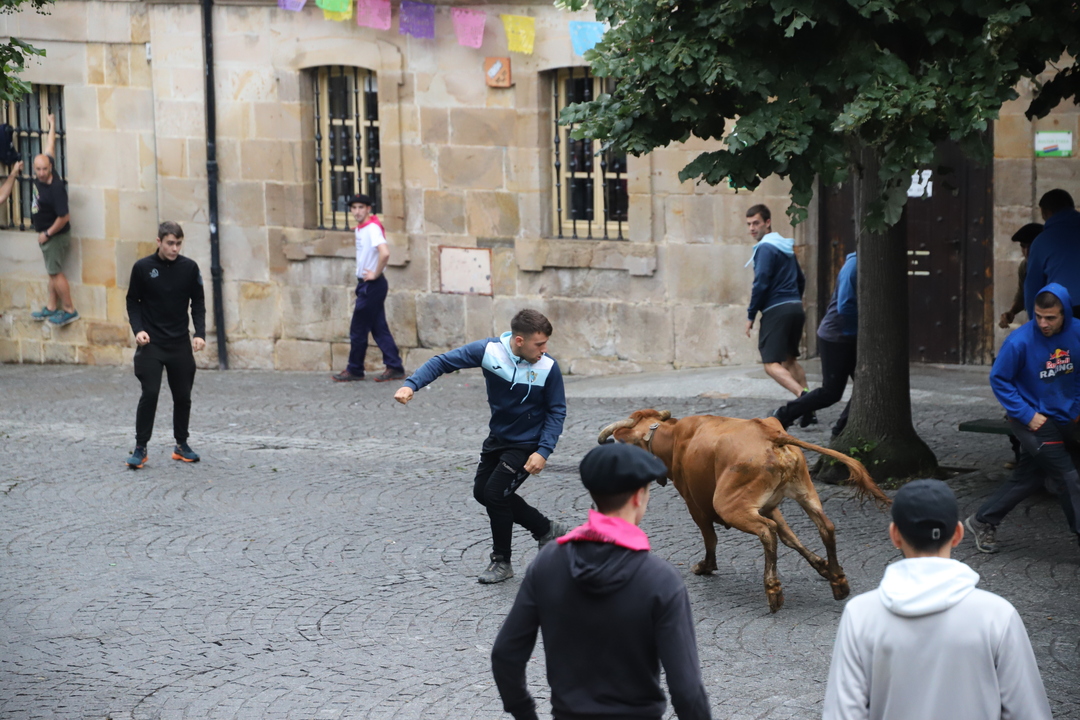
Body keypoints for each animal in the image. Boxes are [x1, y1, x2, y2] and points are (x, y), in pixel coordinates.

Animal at [597, 409, 890, 612]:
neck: (676, 438)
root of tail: (770, 433)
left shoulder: (695, 503)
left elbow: (710, 537)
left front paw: (706, 566)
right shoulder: (769, 506)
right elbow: (790, 537)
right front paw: (823, 567)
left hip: (729, 504)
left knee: (767, 532)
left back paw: (773, 590)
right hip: (805, 493)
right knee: (824, 527)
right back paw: (838, 580)